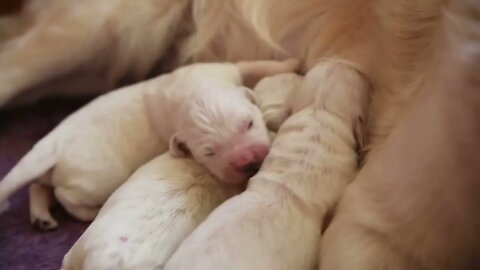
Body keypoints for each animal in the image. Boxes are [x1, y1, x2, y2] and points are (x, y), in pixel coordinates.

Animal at [0, 59, 300, 230]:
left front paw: (292, 63)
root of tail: (52, 144)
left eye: (249, 123)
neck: (193, 93)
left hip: (49, 170)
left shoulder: (221, 69)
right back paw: (88, 212)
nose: (249, 163)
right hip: (92, 180)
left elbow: (252, 64)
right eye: (209, 152)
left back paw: (41, 216)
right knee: (65, 196)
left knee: (38, 187)